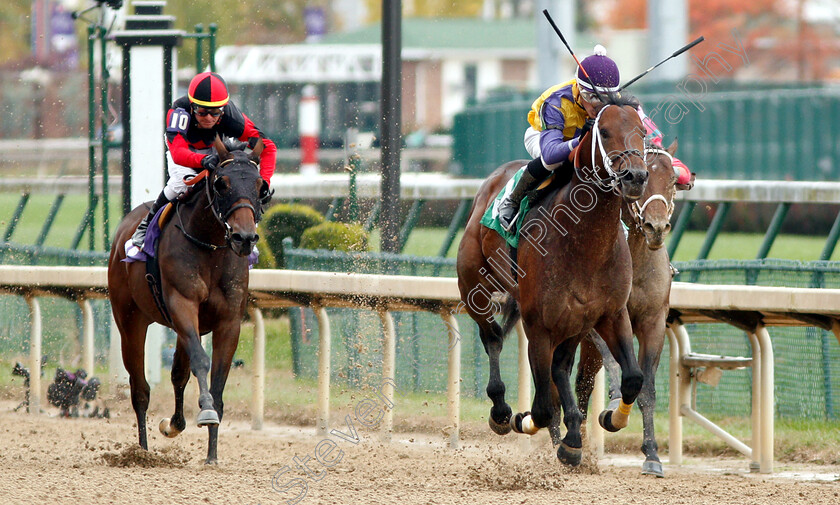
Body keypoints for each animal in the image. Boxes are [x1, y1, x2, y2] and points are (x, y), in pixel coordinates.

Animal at [107, 136, 266, 462]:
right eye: (221, 183)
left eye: (260, 186)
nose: (244, 238)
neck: (210, 247)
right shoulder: (182, 304)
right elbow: (202, 362)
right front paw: (204, 412)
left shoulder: (229, 320)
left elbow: (217, 379)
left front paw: (212, 454)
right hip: (130, 320)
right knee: (139, 388)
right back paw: (142, 451)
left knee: (178, 373)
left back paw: (174, 424)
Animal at [460, 98, 648, 464]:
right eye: (605, 132)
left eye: (642, 131)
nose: (635, 176)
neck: (585, 243)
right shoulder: (537, 324)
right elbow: (543, 407)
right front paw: (525, 420)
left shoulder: (610, 314)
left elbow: (633, 378)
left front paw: (611, 418)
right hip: (473, 286)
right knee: (493, 338)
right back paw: (502, 411)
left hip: (574, 322)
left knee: (560, 366)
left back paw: (573, 434)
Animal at [576, 139, 692, 476]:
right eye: (641, 178)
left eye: (672, 180)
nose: (656, 227)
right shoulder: (598, 319)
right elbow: (617, 366)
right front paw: (614, 406)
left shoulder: (654, 322)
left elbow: (647, 389)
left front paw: (652, 455)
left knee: (582, 383)